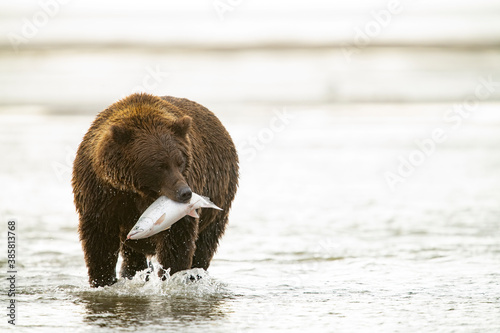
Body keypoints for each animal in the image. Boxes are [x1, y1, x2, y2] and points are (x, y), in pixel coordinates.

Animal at [71, 92, 240, 286]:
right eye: (160, 165)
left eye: (180, 161)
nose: (185, 193)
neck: (135, 188)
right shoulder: (101, 192)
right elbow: (99, 238)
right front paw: (103, 280)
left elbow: (177, 241)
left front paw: (171, 275)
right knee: (131, 253)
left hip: (220, 196)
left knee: (206, 242)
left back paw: (195, 274)